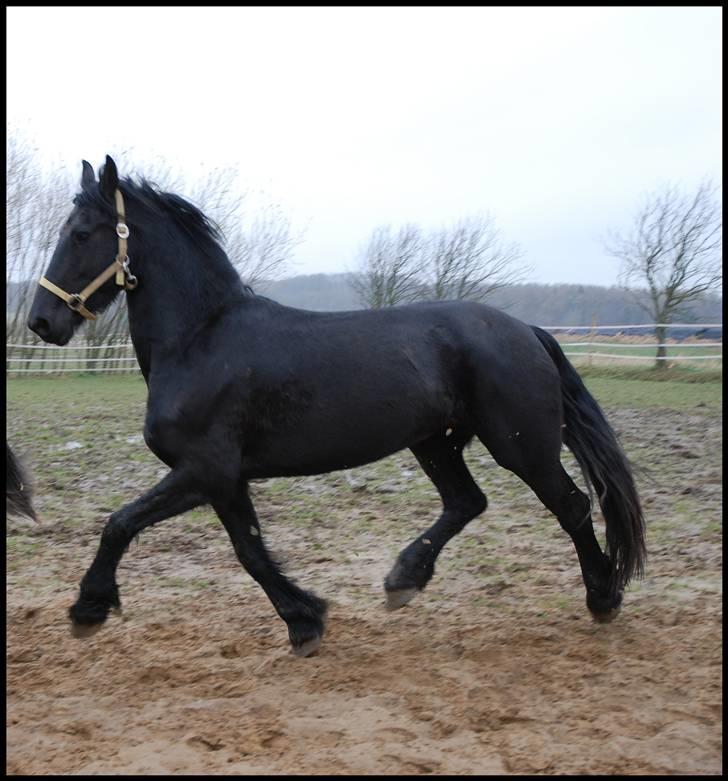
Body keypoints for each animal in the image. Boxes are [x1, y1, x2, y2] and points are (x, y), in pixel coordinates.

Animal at [25, 157, 644, 652]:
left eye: (82, 233)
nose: (41, 322)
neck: (201, 338)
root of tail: (527, 331)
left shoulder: (204, 470)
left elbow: (120, 524)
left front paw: (87, 610)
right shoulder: (223, 479)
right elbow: (250, 551)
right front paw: (305, 620)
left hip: (521, 445)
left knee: (571, 506)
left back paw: (603, 598)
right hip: (432, 442)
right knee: (468, 501)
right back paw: (403, 581)